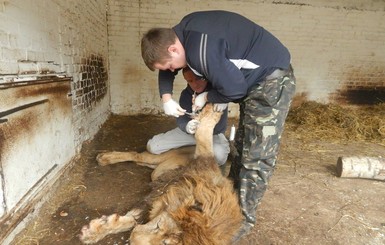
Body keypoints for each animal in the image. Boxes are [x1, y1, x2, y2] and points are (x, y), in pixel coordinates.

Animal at [78, 104, 242, 245]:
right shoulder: (204, 163)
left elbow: (132, 220)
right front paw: (212, 111)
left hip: (157, 171)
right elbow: (204, 134)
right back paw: (104, 158)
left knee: (141, 161)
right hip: (157, 159)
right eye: (158, 225)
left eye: (164, 243)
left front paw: (95, 230)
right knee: (137, 155)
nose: (133, 238)